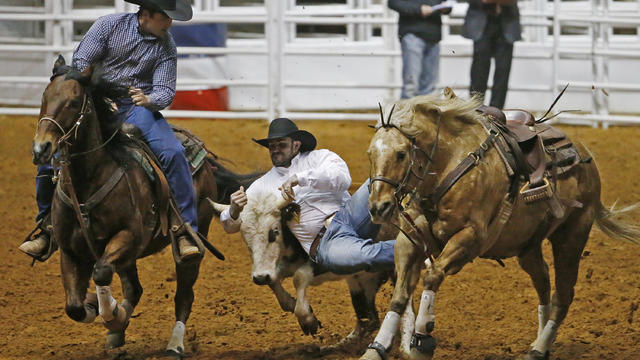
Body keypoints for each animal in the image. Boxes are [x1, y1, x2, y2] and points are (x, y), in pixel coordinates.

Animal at [31, 57, 258, 358]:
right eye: (44, 98)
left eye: (73, 101)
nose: (41, 149)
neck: (89, 181)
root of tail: (205, 160)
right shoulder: (70, 250)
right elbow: (75, 307)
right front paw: (101, 310)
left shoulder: (128, 236)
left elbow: (101, 273)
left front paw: (111, 314)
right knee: (134, 289)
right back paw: (117, 330)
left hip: (191, 243)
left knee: (183, 295)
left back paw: (174, 344)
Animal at [360, 90, 640, 360]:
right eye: (370, 154)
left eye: (401, 153)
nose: (378, 207)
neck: (451, 162)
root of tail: (585, 157)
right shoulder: (409, 240)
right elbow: (399, 296)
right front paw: (375, 349)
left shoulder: (471, 238)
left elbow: (432, 276)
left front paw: (421, 339)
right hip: (528, 247)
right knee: (543, 281)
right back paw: (540, 343)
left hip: (571, 236)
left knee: (563, 294)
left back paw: (539, 348)